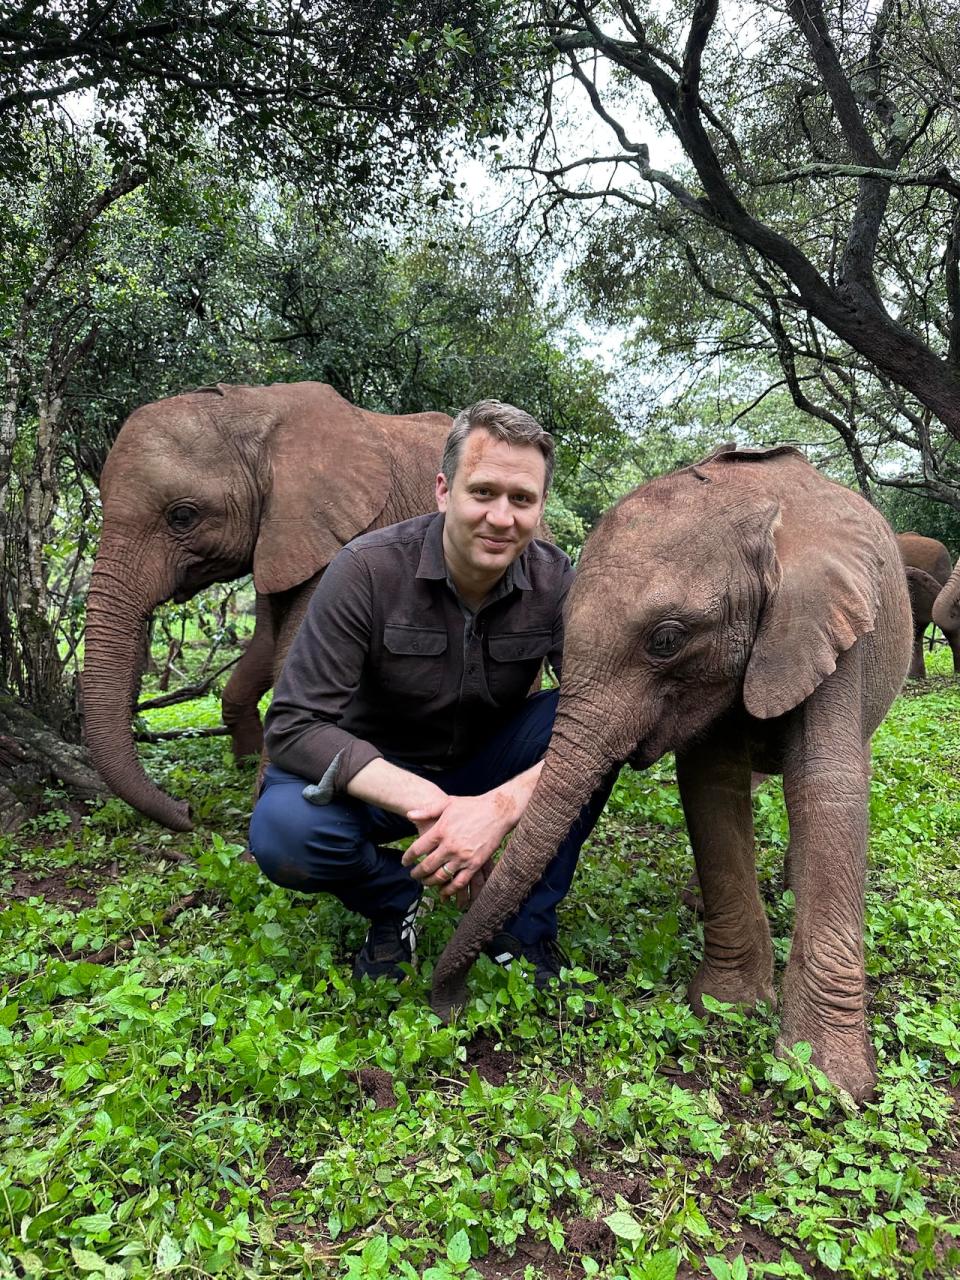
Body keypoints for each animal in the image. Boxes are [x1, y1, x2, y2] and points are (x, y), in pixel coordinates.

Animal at [82, 378, 450, 834]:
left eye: (182, 516)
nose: (187, 813)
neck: (253, 409)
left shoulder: (348, 542)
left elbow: (291, 666)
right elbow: (266, 646)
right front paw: (245, 764)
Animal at [435, 442, 916, 1100]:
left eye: (666, 640)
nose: (450, 1008)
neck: (761, 515)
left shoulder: (834, 627)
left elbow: (827, 790)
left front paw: (828, 1081)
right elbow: (711, 788)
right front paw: (725, 1008)